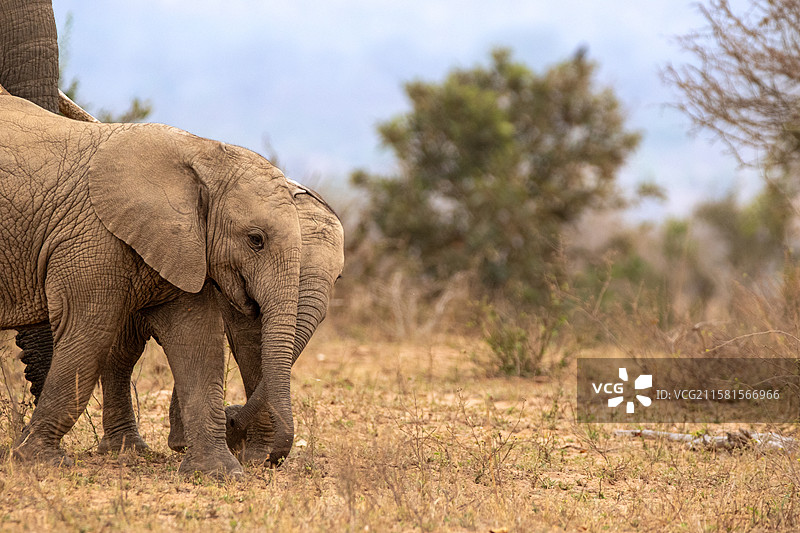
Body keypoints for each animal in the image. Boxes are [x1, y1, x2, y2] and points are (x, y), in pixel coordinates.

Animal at [0, 91, 303, 477]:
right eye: (256, 240)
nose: (234, 419)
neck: (202, 155)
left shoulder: (183, 247)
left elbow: (198, 343)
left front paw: (218, 473)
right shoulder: (90, 240)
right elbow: (88, 335)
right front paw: (37, 460)